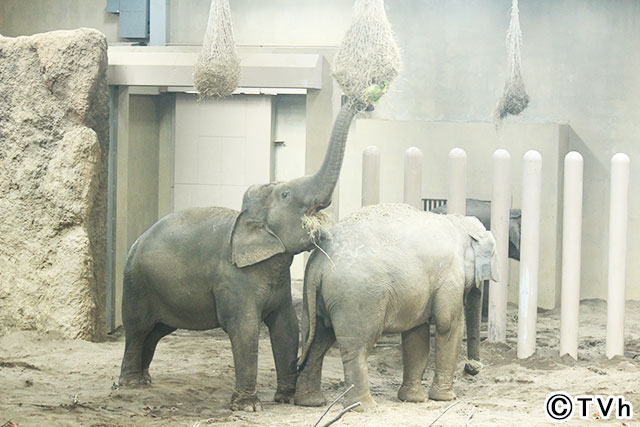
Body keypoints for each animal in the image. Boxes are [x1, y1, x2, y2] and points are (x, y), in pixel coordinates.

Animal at [117, 102, 358, 412]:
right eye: (286, 194)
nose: (360, 101)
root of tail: (136, 241)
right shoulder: (233, 279)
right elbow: (245, 328)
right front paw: (249, 406)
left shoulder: (278, 281)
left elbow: (287, 327)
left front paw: (285, 398)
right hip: (136, 283)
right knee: (137, 328)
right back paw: (130, 383)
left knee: (157, 330)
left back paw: (146, 378)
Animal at [296, 204, 500, 412]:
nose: (472, 367)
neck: (458, 222)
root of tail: (319, 263)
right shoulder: (450, 275)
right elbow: (447, 325)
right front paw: (446, 398)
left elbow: (416, 334)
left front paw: (414, 399)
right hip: (356, 297)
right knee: (356, 348)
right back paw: (364, 407)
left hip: (317, 298)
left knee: (317, 341)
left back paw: (311, 402)